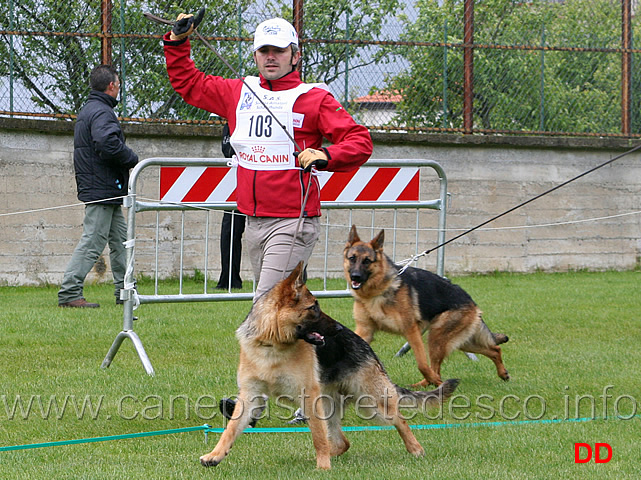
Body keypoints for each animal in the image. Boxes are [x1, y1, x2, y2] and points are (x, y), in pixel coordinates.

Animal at [200, 262, 332, 468]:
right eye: (313, 307)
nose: (338, 328)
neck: (272, 344)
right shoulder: (249, 394)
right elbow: (230, 429)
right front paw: (215, 455)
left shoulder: (309, 394)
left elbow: (319, 434)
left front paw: (324, 465)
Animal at [296, 312, 460, 458]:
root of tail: (368, 349)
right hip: (324, 402)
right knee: (341, 443)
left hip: (371, 401)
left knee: (400, 419)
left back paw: (416, 449)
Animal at [342, 227, 508, 388]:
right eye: (352, 258)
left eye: (367, 261)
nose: (355, 276)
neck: (378, 289)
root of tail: (470, 300)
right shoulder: (365, 330)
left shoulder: (411, 331)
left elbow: (422, 364)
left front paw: (435, 380)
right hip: (460, 341)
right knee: (494, 349)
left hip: (437, 339)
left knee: (437, 366)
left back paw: (435, 383)